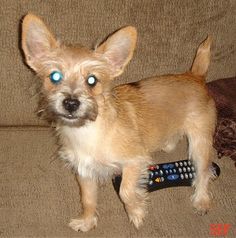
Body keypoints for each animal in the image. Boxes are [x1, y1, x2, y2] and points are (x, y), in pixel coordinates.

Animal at [21, 13, 217, 232]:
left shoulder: (135, 161)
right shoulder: (85, 172)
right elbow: (88, 199)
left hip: (200, 144)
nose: (71, 103)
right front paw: (87, 221)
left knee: (204, 172)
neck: (89, 131)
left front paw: (137, 212)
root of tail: (195, 75)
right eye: (55, 76)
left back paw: (201, 200)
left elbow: (125, 191)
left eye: (92, 80)